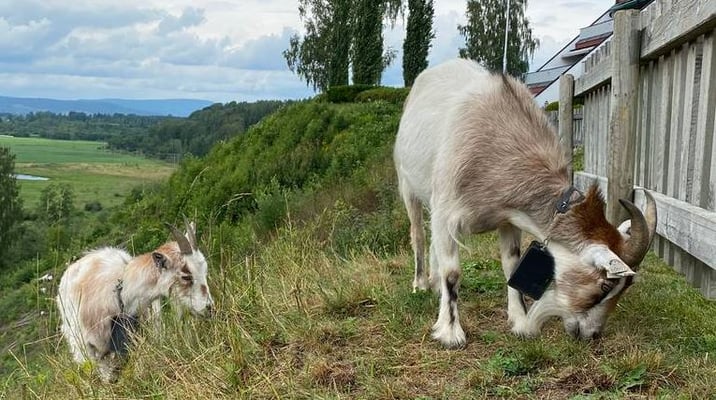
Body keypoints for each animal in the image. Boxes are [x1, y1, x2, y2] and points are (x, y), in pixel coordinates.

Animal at [394, 58, 656, 346]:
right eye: (606, 285)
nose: (592, 334)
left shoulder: (507, 218)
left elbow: (511, 265)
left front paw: (519, 322)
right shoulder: (446, 212)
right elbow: (452, 272)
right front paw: (450, 332)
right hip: (408, 184)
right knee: (418, 234)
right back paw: (420, 284)